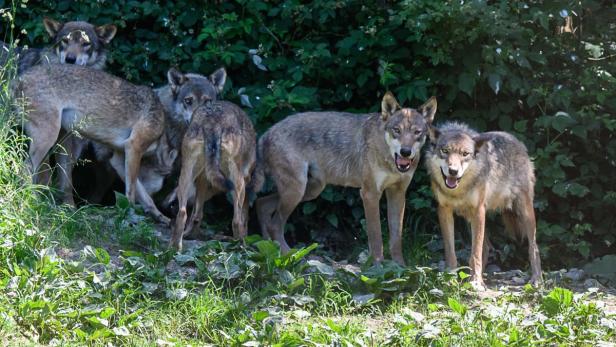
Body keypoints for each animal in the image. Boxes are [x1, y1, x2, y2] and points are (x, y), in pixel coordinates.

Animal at [170, 100, 256, 250]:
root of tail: (212, 122)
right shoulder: (244, 181)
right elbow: (243, 218)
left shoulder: (202, 180)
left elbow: (196, 214)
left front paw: (191, 235)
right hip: (238, 183)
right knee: (236, 221)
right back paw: (241, 247)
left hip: (185, 175)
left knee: (182, 213)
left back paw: (175, 247)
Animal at [253, 92, 436, 264]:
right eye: (397, 130)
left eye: (417, 132)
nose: (405, 152)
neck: (388, 158)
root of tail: (266, 133)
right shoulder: (369, 194)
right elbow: (376, 236)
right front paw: (378, 266)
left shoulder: (397, 193)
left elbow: (396, 238)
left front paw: (400, 266)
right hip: (297, 191)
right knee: (275, 224)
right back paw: (287, 256)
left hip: (310, 191)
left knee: (261, 204)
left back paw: (266, 250)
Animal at [426, 121, 540, 290]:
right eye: (445, 151)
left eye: (465, 154)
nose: (453, 171)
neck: (458, 191)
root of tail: (516, 140)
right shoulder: (444, 210)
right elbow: (451, 251)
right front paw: (451, 277)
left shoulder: (478, 210)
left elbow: (475, 253)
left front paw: (476, 282)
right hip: (470, 218)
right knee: (485, 248)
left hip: (524, 213)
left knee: (534, 247)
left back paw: (536, 279)